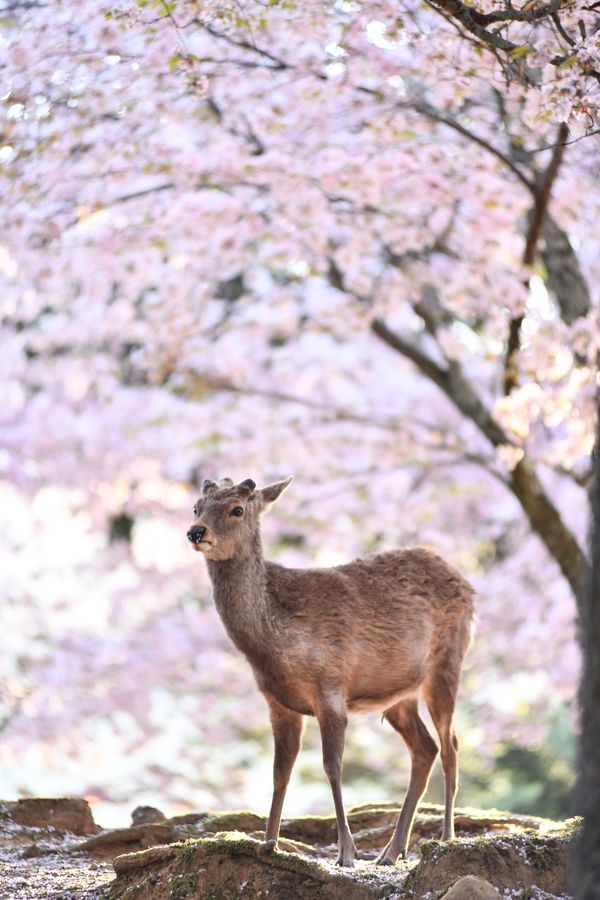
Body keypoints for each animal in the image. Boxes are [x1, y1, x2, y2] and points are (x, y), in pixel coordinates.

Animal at [187, 476, 474, 867]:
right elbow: (280, 772)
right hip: (398, 695)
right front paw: (268, 843)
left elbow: (332, 765)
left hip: (447, 663)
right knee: (425, 748)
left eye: (237, 509)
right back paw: (391, 851)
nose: (196, 532)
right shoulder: (278, 703)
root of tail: (466, 582)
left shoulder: (331, 687)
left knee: (451, 747)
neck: (272, 645)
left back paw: (445, 838)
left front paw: (346, 853)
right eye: (196, 507)